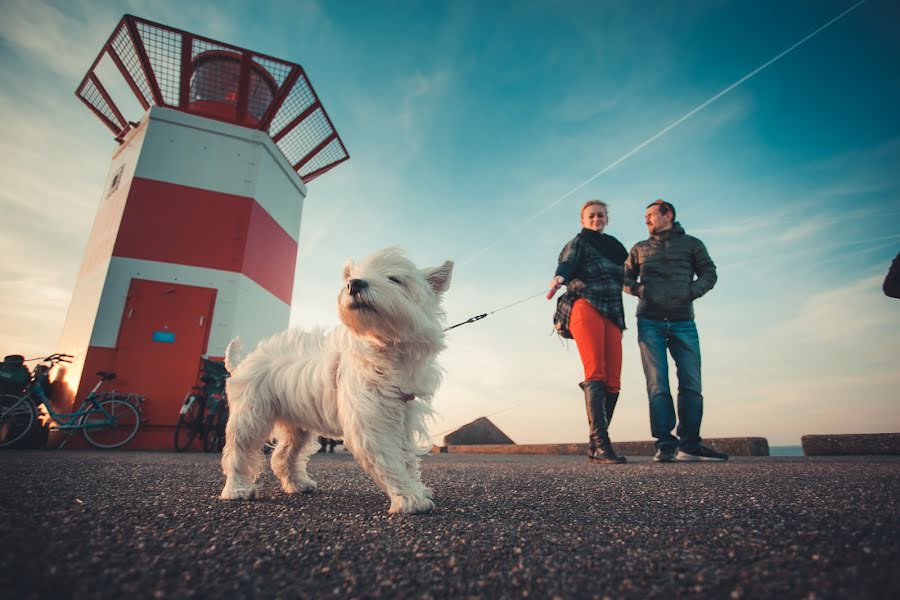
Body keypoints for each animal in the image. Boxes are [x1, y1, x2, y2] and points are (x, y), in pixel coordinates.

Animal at [221, 246, 454, 512]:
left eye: (395, 279)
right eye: (353, 276)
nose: (355, 284)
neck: (384, 344)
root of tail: (243, 362)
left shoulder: (403, 417)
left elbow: (406, 458)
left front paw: (417, 488)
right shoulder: (371, 421)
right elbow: (390, 459)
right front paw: (410, 499)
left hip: (296, 424)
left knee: (283, 456)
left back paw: (298, 484)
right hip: (250, 417)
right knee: (238, 452)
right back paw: (237, 489)